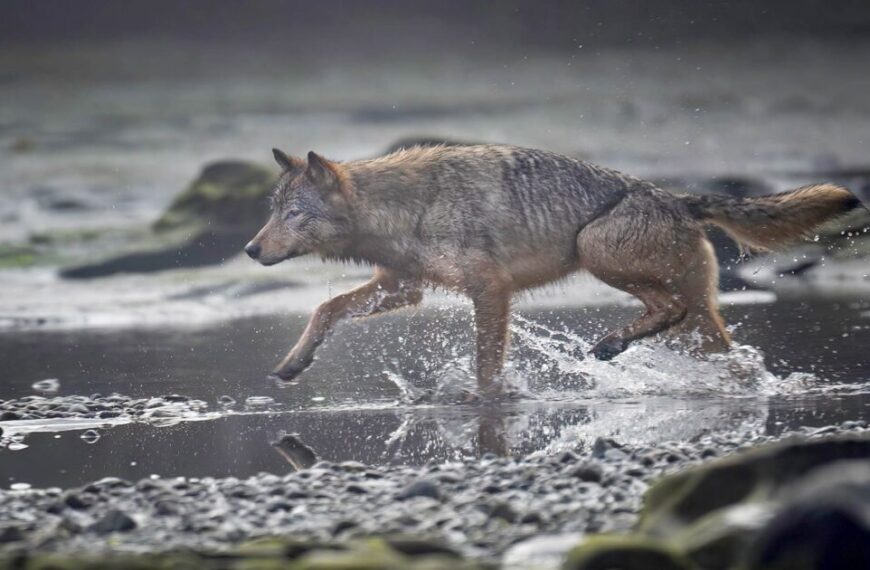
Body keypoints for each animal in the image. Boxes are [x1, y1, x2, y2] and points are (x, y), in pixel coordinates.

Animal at [244, 144, 862, 393]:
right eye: (272, 211)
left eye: (293, 215)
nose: (250, 250)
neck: (407, 208)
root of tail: (680, 198)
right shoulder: (404, 288)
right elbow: (325, 309)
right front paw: (293, 364)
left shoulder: (489, 290)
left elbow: (486, 363)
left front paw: (488, 401)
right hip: (698, 320)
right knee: (723, 353)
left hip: (596, 251)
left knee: (667, 308)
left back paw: (611, 345)